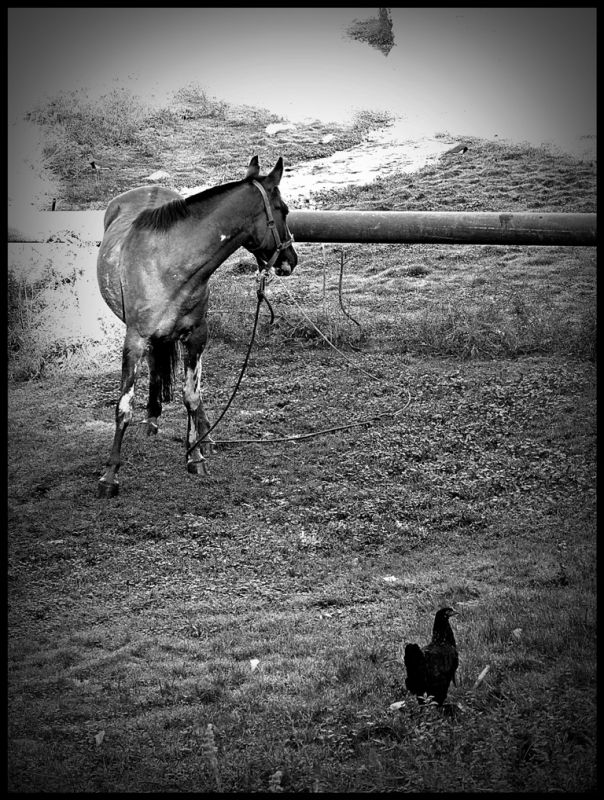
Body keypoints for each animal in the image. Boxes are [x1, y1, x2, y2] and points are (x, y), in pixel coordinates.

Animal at [94, 153, 298, 496]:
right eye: (282, 209)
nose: (291, 260)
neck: (168, 265)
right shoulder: (134, 340)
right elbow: (123, 406)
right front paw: (110, 475)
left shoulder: (196, 337)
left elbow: (191, 395)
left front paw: (195, 456)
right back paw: (153, 422)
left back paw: (202, 436)